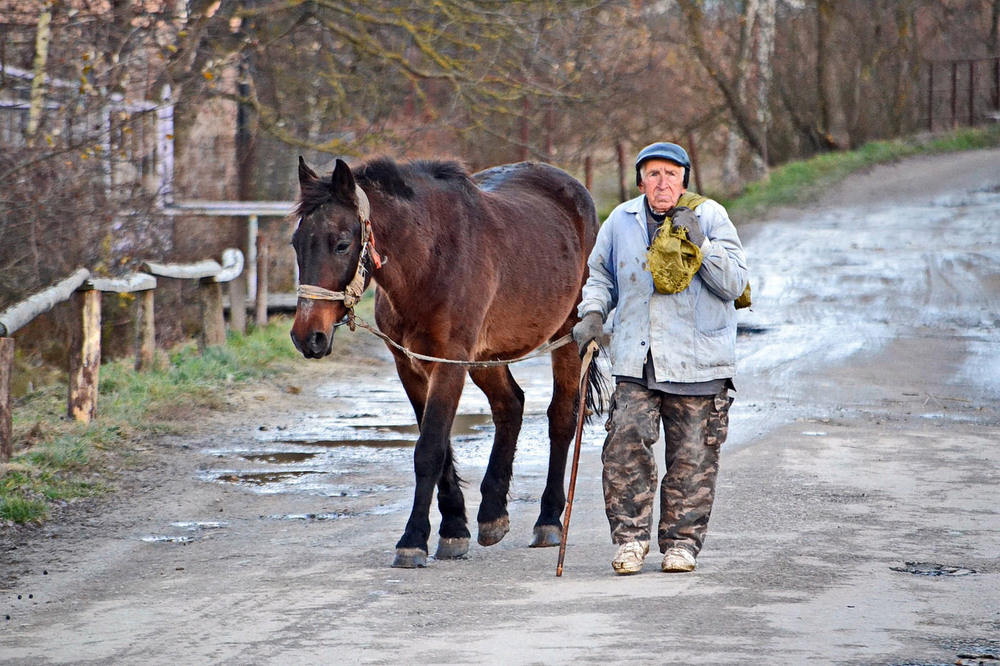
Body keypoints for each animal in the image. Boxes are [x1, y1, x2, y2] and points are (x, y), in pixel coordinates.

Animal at [292, 156, 596, 564]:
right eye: (296, 244)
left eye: (341, 244)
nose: (307, 337)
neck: (431, 259)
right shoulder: (411, 366)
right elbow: (439, 447)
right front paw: (454, 530)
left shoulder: (450, 362)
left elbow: (430, 449)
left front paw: (413, 540)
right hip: (486, 357)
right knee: (510, 406)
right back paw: (492, 515)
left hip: (566, 336)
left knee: (561, 417)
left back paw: (548, 520)